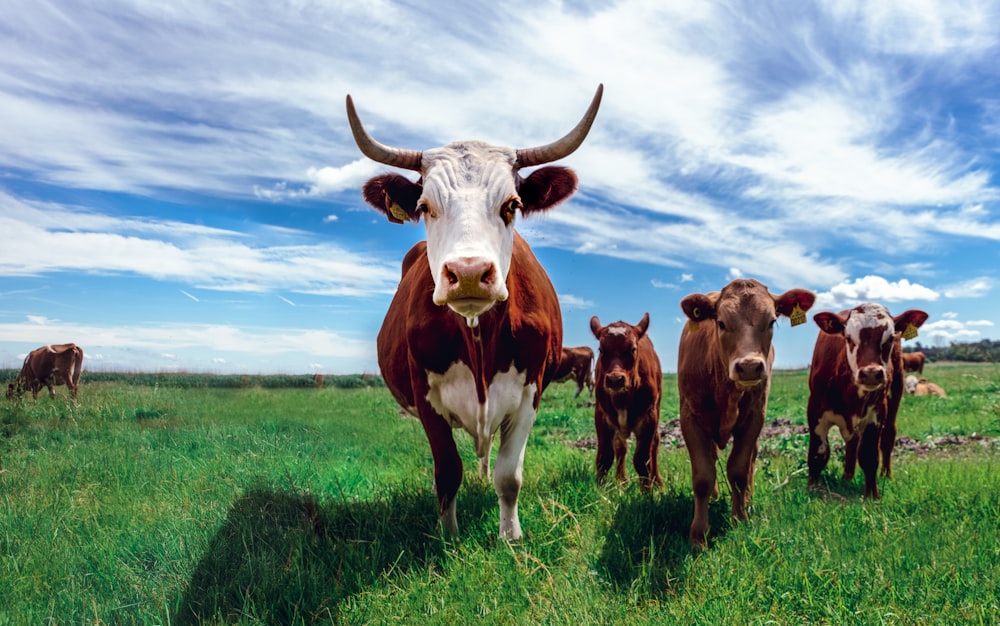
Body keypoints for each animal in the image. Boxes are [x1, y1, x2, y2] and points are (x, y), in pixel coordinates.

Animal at [348, 85, 600, 540]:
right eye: (425, 206)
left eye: (512, 205)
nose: (467, 273)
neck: (479, 336)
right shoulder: (425, 396)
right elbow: (448, 471)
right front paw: (448, 535)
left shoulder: (531, 391)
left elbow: (509, 475)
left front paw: (510, 536)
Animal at [588, 310, 660, 488]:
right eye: (601, 349)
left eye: (632, 349)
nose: (615, 379)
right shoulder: (601, 415)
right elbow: (605, 457)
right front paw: (601, 488)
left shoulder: (649, 417)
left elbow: (642, 459)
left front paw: (647, 491)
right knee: (621, 446)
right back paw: (621, 480)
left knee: (655, 444)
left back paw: (657, 482)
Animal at [676, 278, 816, 544]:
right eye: (721, 322)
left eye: (771, 321)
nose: (750, 366)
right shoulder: (690, 417)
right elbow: (703, 476)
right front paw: (698, 534)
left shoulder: (754, 417)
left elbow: (739, 470)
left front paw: (739, 519)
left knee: (750, 461)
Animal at [804, 302, 928, 498]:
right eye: (848, 338)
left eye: (890, 338)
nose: (870, 373)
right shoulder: (815, 409)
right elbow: (818, 454)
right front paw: (813, 489)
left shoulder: (876, 413)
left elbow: (869, 456)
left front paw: (872, 496)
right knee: (852, 443)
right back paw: (847, 476)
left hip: (896, 393)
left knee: (887, 436)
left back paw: (886, 474)